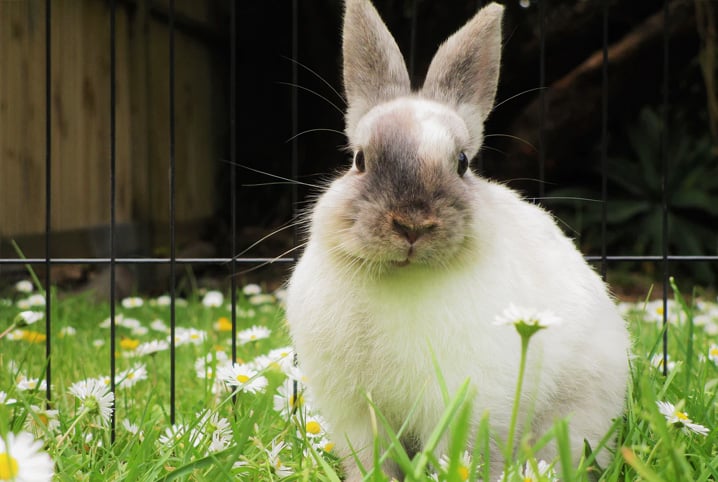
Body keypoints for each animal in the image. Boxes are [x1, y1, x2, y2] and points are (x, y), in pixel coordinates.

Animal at [284, 1, 632, 480]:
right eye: (359, 160)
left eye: (463, 163)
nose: (412, 224)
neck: (402, 278)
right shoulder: (356, 414)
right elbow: (370, 459)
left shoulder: (468, 401)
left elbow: (464, 452)